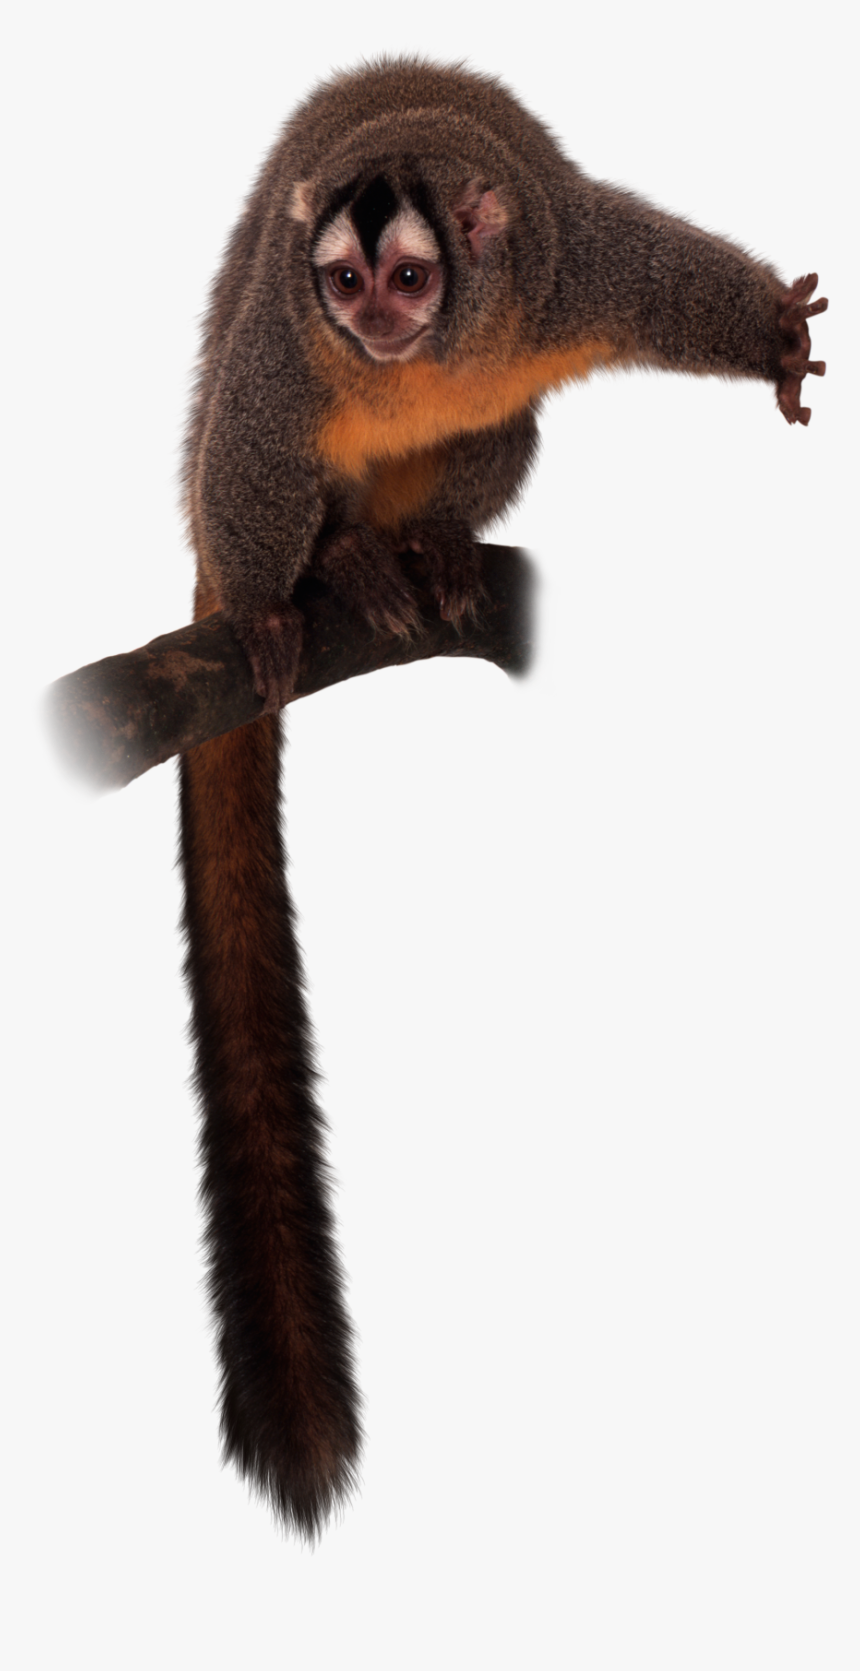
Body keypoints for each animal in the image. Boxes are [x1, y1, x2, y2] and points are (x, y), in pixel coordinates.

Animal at [178, 56, 826, 1538]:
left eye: (411, 278)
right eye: (343, 281)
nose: (371, 325)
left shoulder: (564, 269)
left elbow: (671, 284)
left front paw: (771, 334)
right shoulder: (284, 344)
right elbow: (252, 444)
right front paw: (268, 616)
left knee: (499, 432)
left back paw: (422, 547)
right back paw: (344, 567)